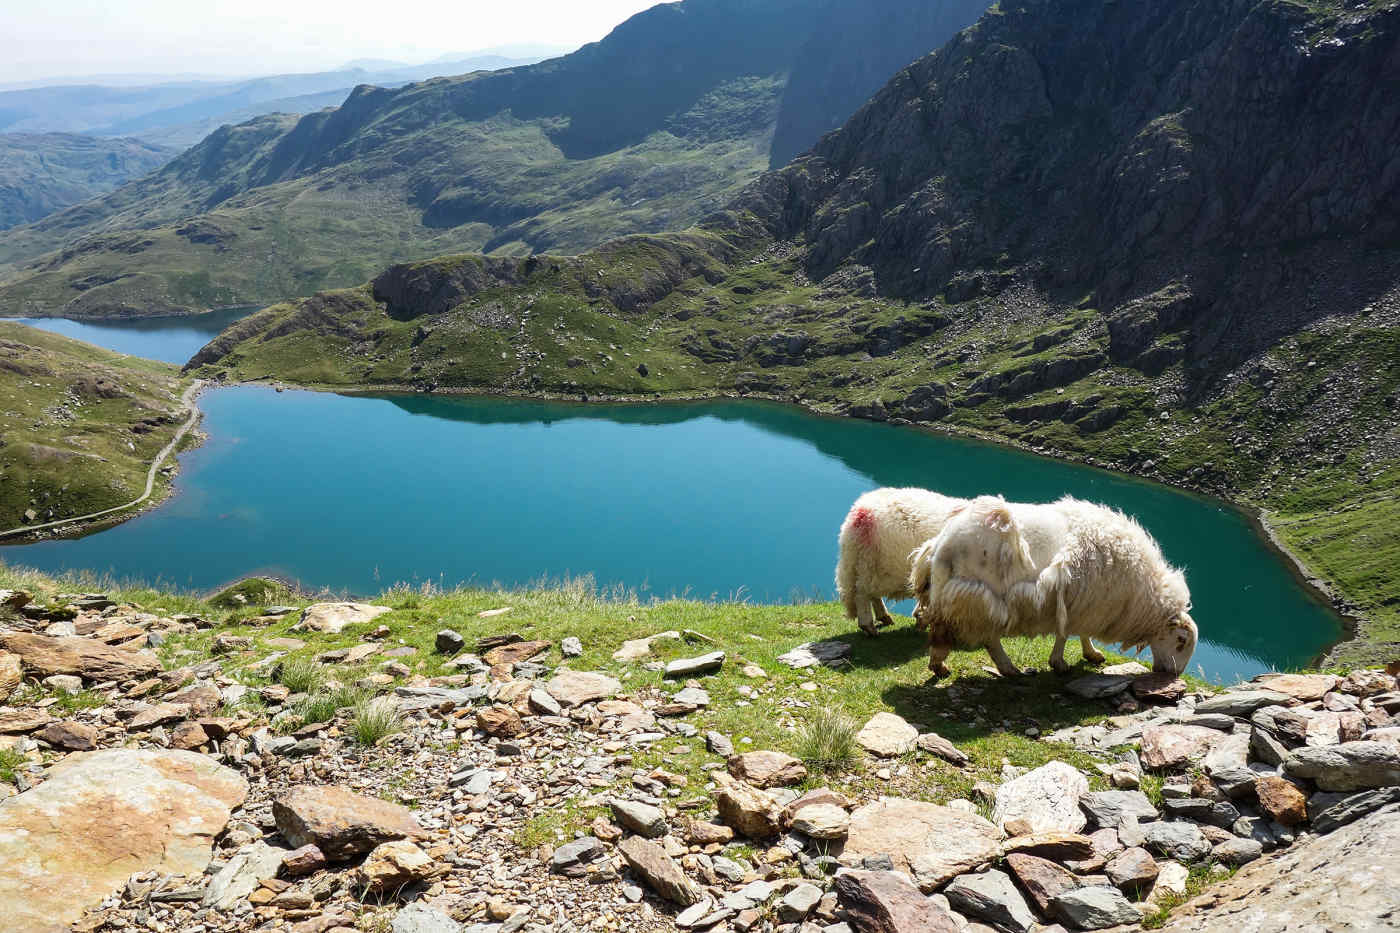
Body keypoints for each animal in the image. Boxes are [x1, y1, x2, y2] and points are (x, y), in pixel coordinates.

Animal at [834, 487, 968, 633]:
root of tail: (859, 513)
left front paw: (920, 619)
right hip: (872, 564)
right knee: (862, 593)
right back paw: (869, 626)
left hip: (866, 565)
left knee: (870, 594)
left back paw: (885, 617)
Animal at [912, 493, 1198, 675]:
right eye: (1181, 640)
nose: (1174, 674)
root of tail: (944, 544)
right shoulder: (1079, 602)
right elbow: (1065, 633)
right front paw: (1060, 663)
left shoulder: (1085, 603)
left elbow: (1080, 633)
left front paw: (1091, 654)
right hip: (980, 597)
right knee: (986, 637)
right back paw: (994, 667)